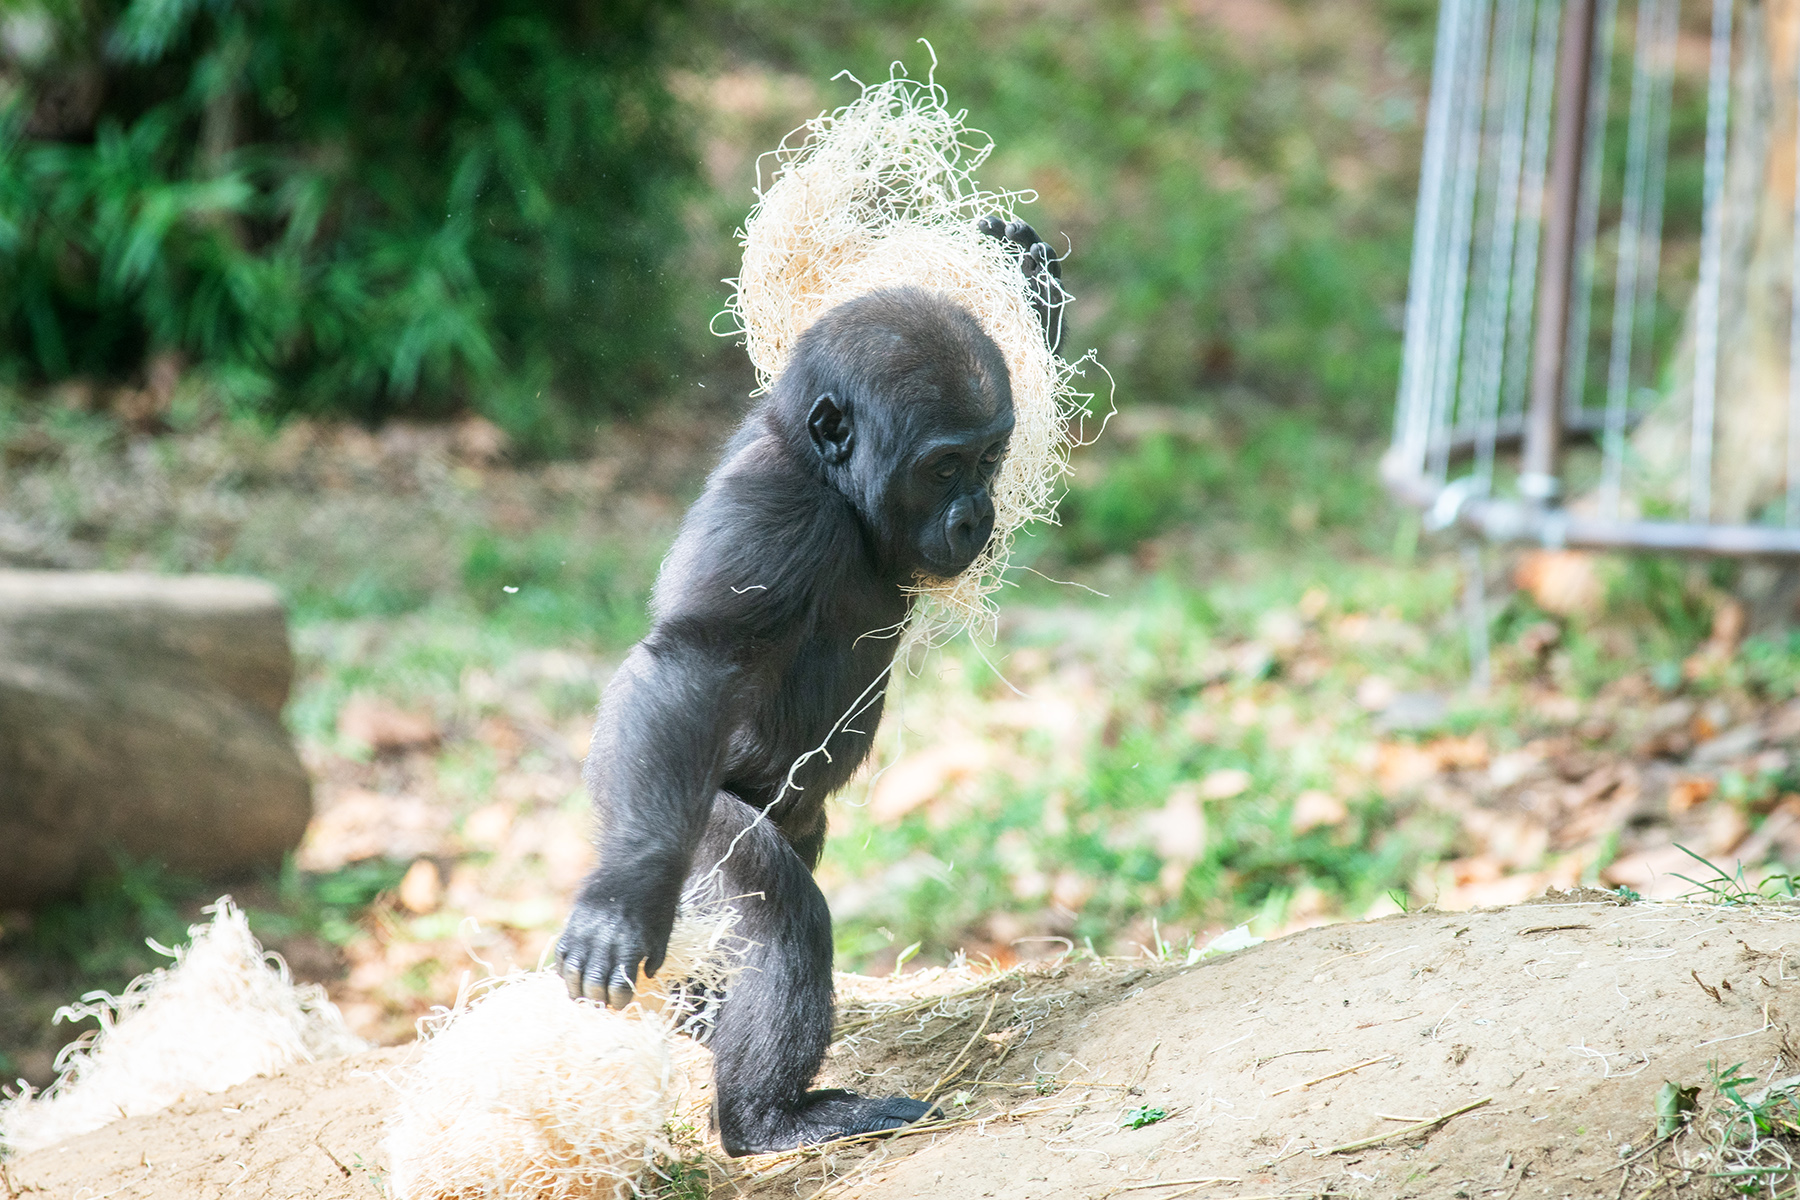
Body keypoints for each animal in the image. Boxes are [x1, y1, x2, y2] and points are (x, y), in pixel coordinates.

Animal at [561, 224, 1058, 1151]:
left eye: (991, 457)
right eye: (943, 469)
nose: (977, 514)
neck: (832, 485)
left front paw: (1033, 285)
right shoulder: (772, 518)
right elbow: (692, 659)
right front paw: (622, 897)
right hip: (703, 827)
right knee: (778, 915)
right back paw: (767, 1117)